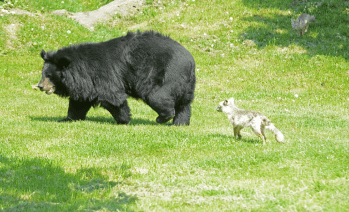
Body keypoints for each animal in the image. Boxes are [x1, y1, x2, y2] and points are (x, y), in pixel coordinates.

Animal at [34, 30, 197, 125]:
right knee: (184, 104)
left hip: (165, 75)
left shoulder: (100, 75)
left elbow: (111, 97)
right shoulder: (86, 83)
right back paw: (180, 123)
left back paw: (162, 118)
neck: (80, 70)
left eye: (49, 76)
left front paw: (123, 120)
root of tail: (190, 59)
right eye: (43, 75)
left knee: (157, 97)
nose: (40, 86)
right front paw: (66, 119)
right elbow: (79, 101)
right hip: (184, 84)